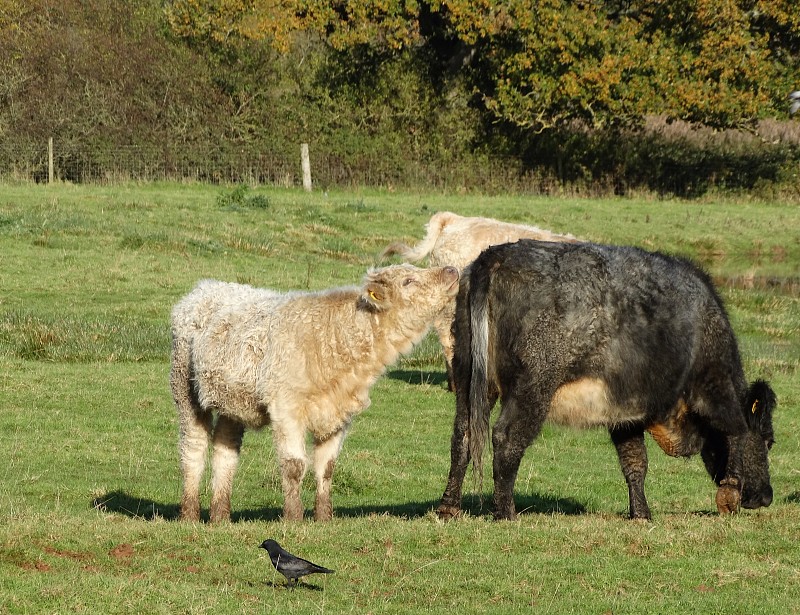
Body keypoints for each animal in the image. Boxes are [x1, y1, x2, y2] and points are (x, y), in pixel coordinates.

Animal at [434, 241, 780, 520]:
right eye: (768, 440)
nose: (766, 497)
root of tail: (496, 255)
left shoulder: (627, 414)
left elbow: (635, 463)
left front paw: (641, 514)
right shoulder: (714, 385)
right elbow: (736, 430)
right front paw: (730, 493)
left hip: (468, 376)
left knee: (462, 436)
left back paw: (448, 508)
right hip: (533, 386)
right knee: (506, 439)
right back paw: (506, 513)